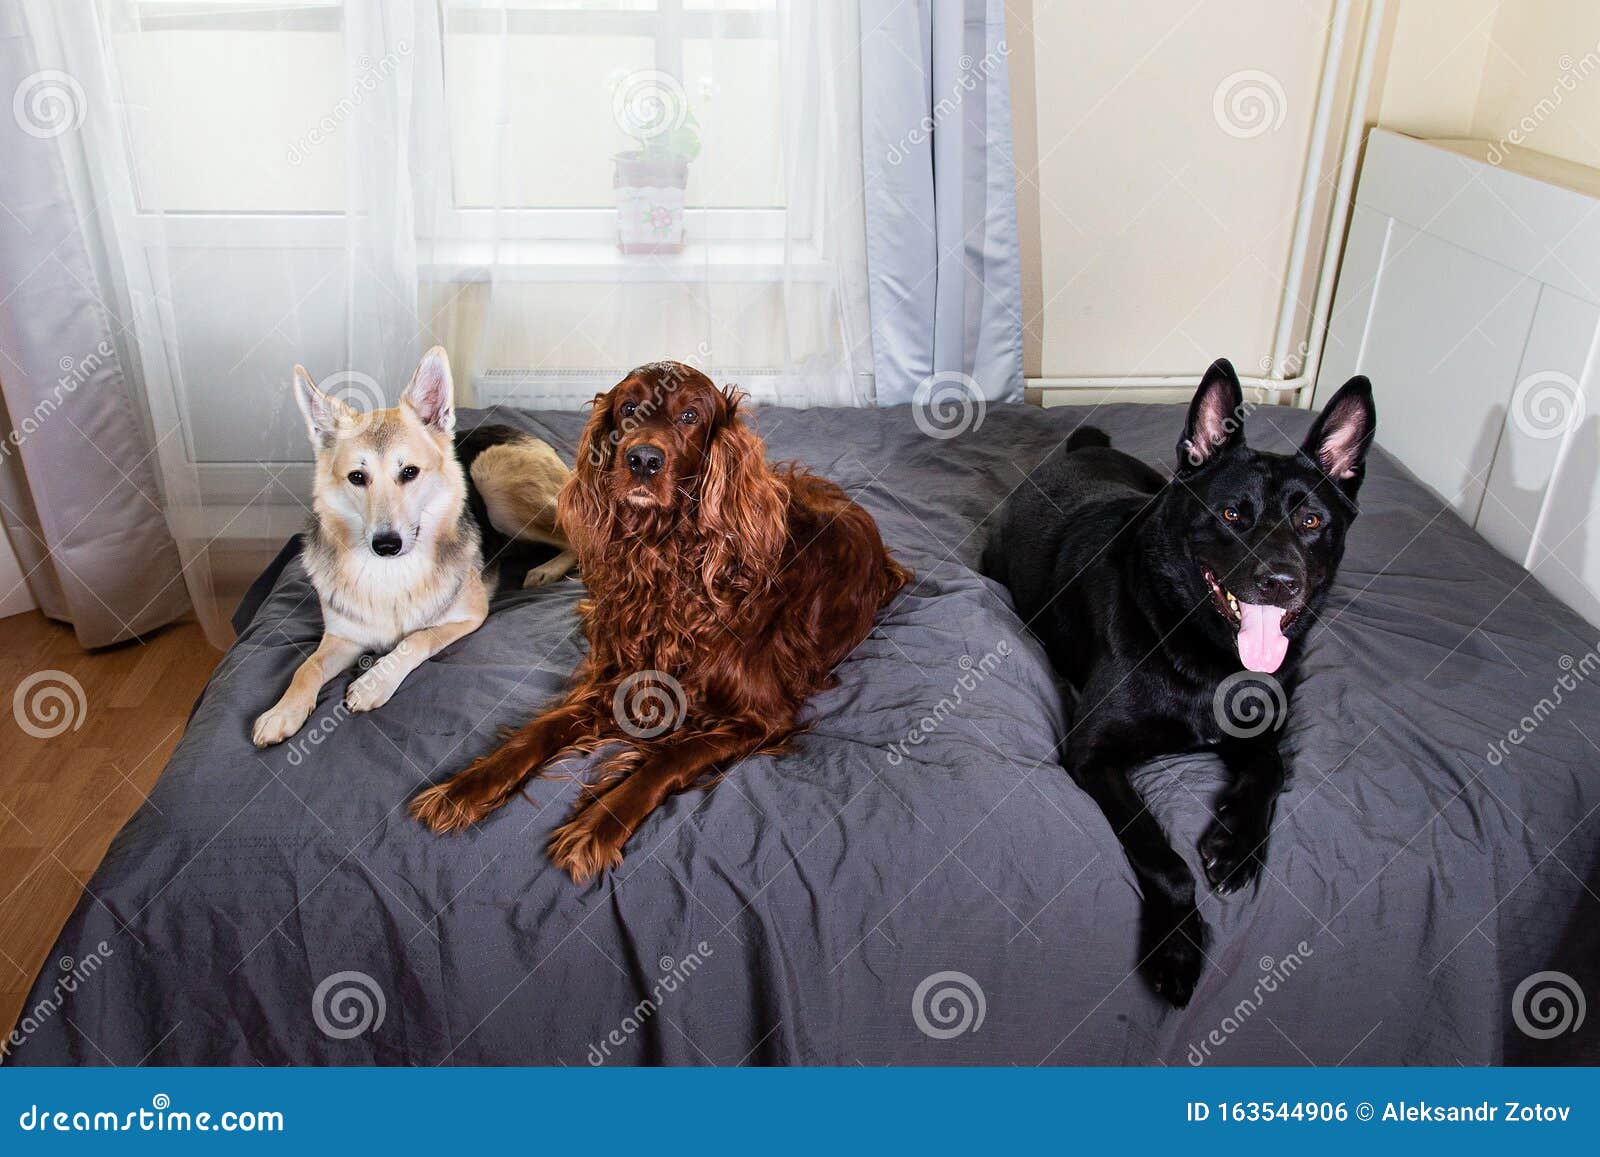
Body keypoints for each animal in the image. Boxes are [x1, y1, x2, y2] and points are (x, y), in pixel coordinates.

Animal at [249, 350, 576, 752]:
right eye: (357, 477)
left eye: (409, 472)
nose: (387, 545)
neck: (391, 575)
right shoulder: (343, 637)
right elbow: (306, 667)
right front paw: (282, 711)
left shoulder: (469, 617)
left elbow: (416, 639)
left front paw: (374, 683)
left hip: (493, 482)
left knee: (576, 538)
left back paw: (548, 569)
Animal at [409, 361, 915, 876]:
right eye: (629, 408)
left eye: (690, 415)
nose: (643, 461)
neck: (664, 564)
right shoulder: (621, 679)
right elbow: (539, 731)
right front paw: (463, 789)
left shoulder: (760, 718)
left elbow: (666, 760)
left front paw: (596, 826)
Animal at [985, 360, 1376, 1004]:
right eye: (1232, 515)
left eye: (1312, 521)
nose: (1281, 581)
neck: (1206, 653)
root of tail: (1081, 450)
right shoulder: (1092, 756)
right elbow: (1164, 861)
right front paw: (1177, 949)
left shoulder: (1260, 736)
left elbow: (1273, 768)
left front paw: (1237, 847)